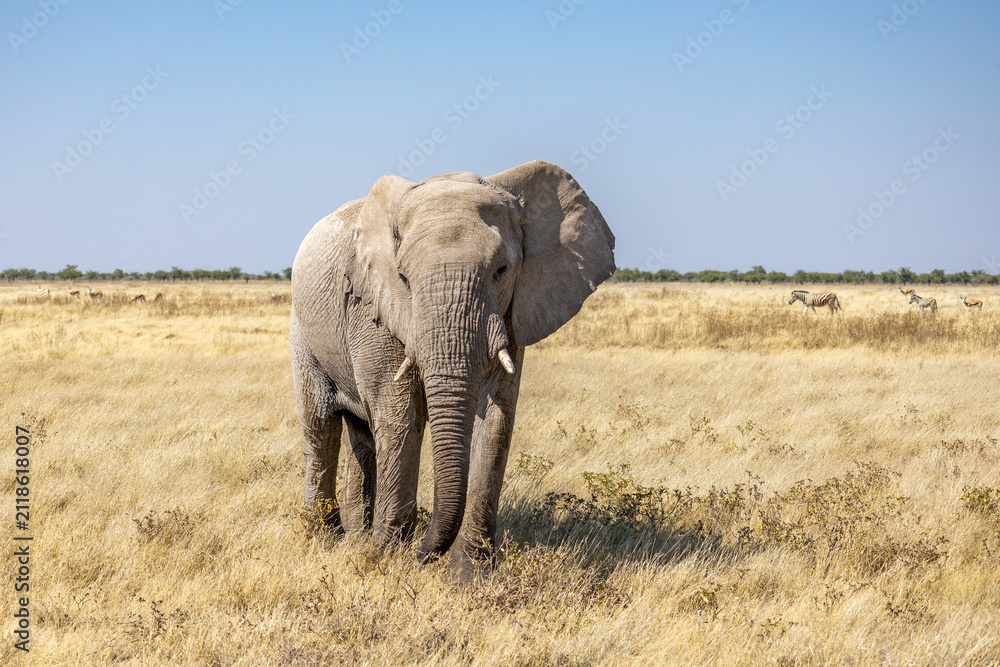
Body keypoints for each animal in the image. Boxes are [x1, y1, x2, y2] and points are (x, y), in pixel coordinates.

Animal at [289, 160, 615, 579]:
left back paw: (359, 538)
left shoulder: (513, 312)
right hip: (302, 329)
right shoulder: (371, 309)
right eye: (404, 278)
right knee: (320, 426)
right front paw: (386, 561)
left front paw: (469, 577)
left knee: (361, 435)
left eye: (502, 270)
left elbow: (496, 419)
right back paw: (327, 540)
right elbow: (399, 416)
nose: (422, 553)